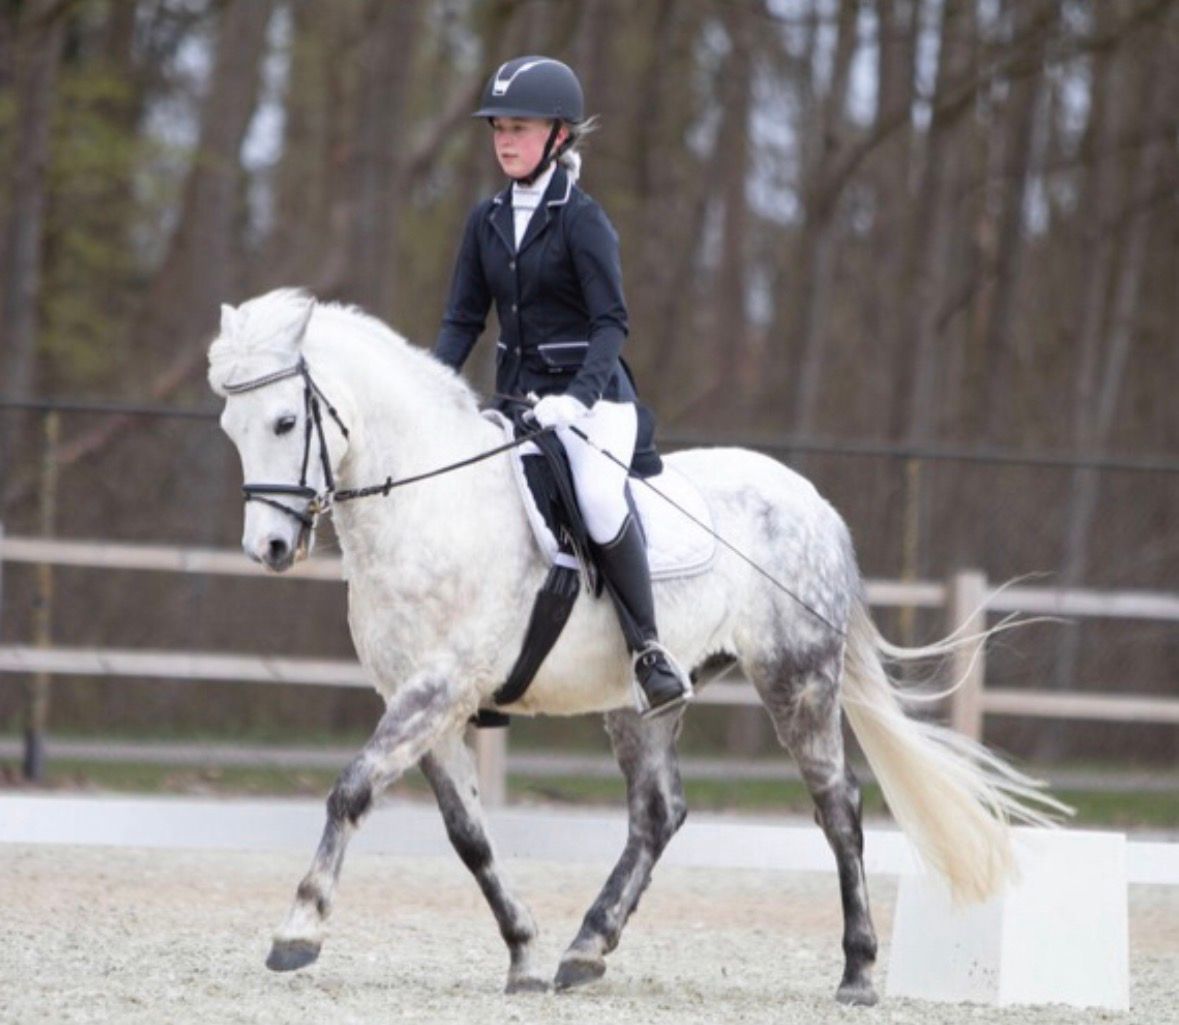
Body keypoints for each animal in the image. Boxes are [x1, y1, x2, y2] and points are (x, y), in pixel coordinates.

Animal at [208, 288, 1060, 1006]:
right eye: (231, 429)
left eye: (284, 422)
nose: (269, 547)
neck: (432, 501)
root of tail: (812, 500)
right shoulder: (423, 701)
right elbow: (468, 835)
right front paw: (522, 951)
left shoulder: (439, 687)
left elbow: (349, 790)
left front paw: (297, 930)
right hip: (642, 700)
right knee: (657, 812)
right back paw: (585, 947)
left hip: (796, 679)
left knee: (837, 807)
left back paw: (855, 972)